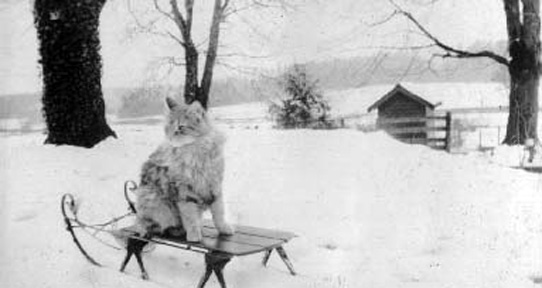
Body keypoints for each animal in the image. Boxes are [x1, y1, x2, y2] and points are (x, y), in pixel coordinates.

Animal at [135, 98, 235, 242]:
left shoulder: (214, 186)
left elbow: (219, 212)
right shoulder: (184, 191)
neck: (196, 155)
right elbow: (190, 217)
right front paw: (194, 235)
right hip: (153, 200)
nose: (171, 136)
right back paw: (176, 230)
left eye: (181, 127)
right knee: (150, 226)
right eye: (169, 127)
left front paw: (224, 229)